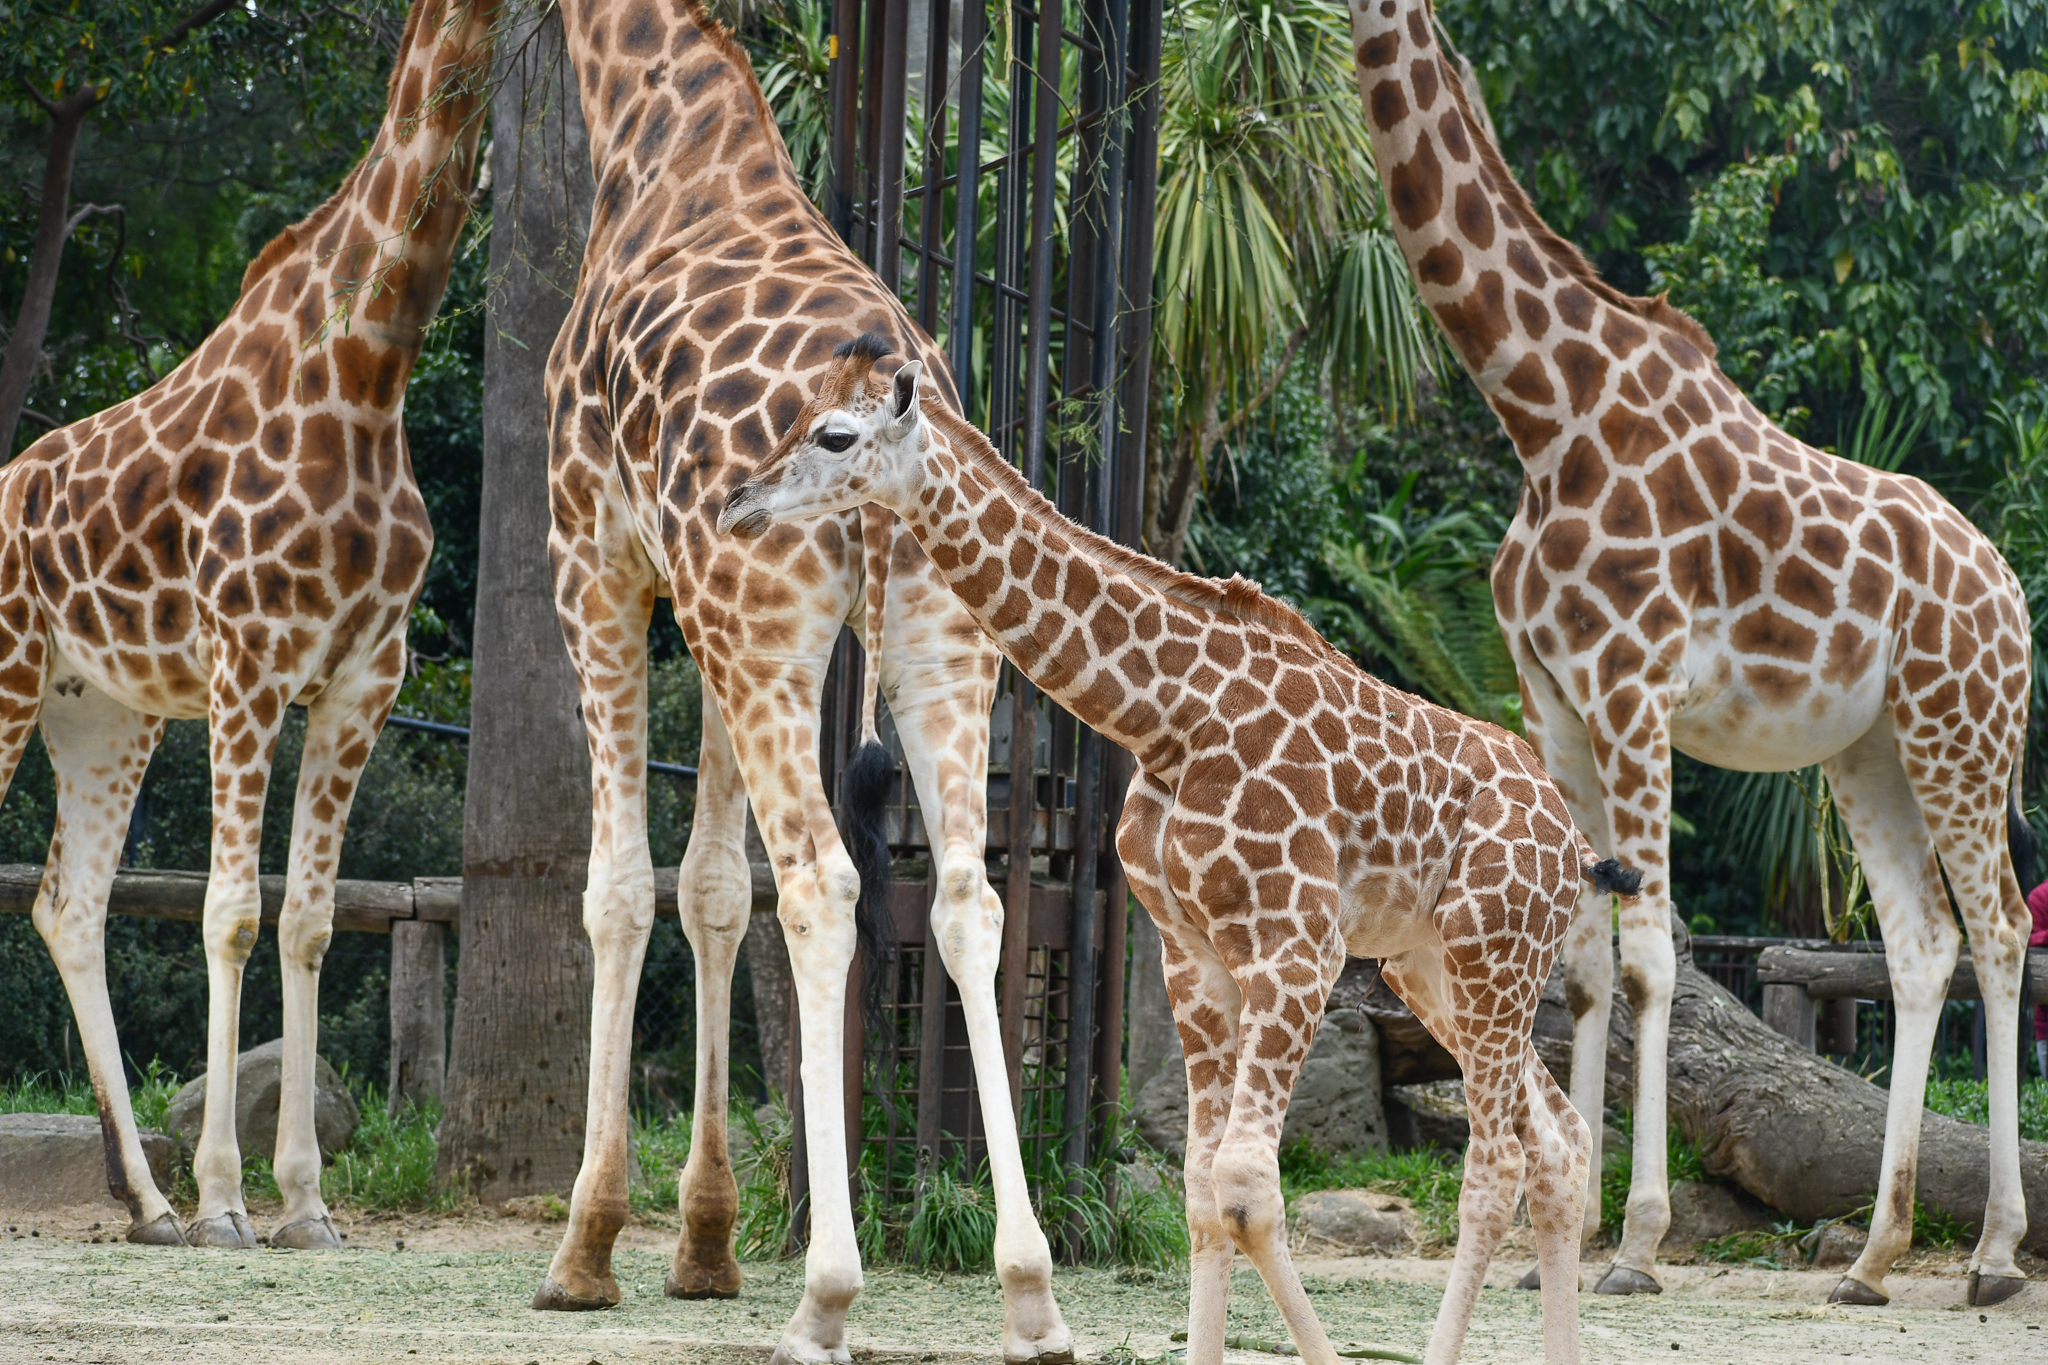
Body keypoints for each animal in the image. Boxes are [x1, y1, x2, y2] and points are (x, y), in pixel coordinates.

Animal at [0, 0, 497, 1248]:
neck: (368, 367)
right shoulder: (247, 660)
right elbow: (227, 910)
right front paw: (227, 1198)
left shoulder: (365, 674)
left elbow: (308, 919)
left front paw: (304, 1202)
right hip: (12, 668)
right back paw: (174, 1203)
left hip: (100, 712)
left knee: (69, 905)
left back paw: (146, 1205)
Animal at [534, 4, 1072, 1362]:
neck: (654, 127)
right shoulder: (710, 617)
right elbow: (716, 889)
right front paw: (702, 1246)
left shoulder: (596, 560)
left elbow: (623, 888)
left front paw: (588, 1248)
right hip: (933, 642)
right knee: (966, 900)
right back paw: (1029, 1292)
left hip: (758, 615)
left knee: (827, 884)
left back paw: (826, 1293)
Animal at [722, 336, 1648, 1365]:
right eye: (797, 411)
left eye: (836, 434)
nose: (738, 502)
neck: (1168, 715)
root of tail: (1572, 842)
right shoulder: (1193, 956)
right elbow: (1207, 1191)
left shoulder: (1296, 947)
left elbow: (1247, 1189)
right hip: (1434, 967)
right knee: (1559, 1143)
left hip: (1493, 954)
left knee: (1497, 1164)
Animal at [1346, 0, 2035, 1306]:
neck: (1540, 406)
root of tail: (2012, 594)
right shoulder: (1553, 704)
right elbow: (1578, 974)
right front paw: (1552, 1240)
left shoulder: (1631, 687)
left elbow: (1651, 963)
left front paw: (1636, 1242)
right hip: (1866, 750)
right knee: (1921, 946)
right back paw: (1870, 1257)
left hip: (1959, 729)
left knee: (2003, 933)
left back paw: (1989, 1257)